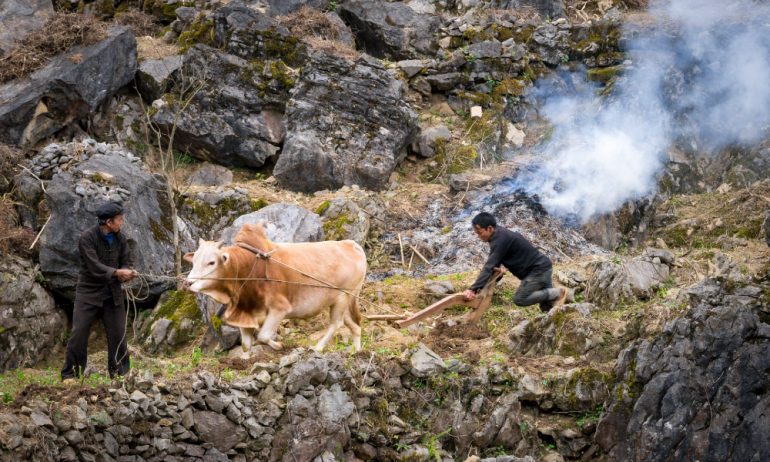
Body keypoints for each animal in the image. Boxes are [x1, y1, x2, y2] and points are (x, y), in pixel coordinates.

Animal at [184, 222, 368, 352]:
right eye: (194, 260)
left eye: (211, 262)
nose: (188, 283)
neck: (247, 268)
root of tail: (351, 244)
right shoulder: (245, 314)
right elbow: (246, 345)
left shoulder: (280, 308)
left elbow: (263, 336)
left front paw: (278, 346)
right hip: (342, 301)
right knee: (354, 325)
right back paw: (357, 350)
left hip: (343, 297)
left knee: (336, 324)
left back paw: (318, 347)